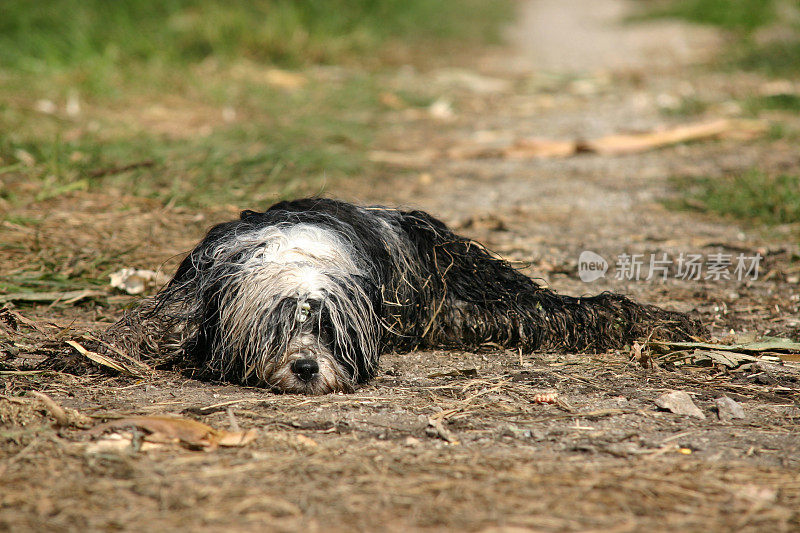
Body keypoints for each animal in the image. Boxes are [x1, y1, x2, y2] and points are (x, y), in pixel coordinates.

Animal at [109, 197, 704, 392]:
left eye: (328, 329)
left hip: (466, 283)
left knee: (564, 310)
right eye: (277, 330)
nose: (306, 368)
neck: (295, 256)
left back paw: (660, 322)